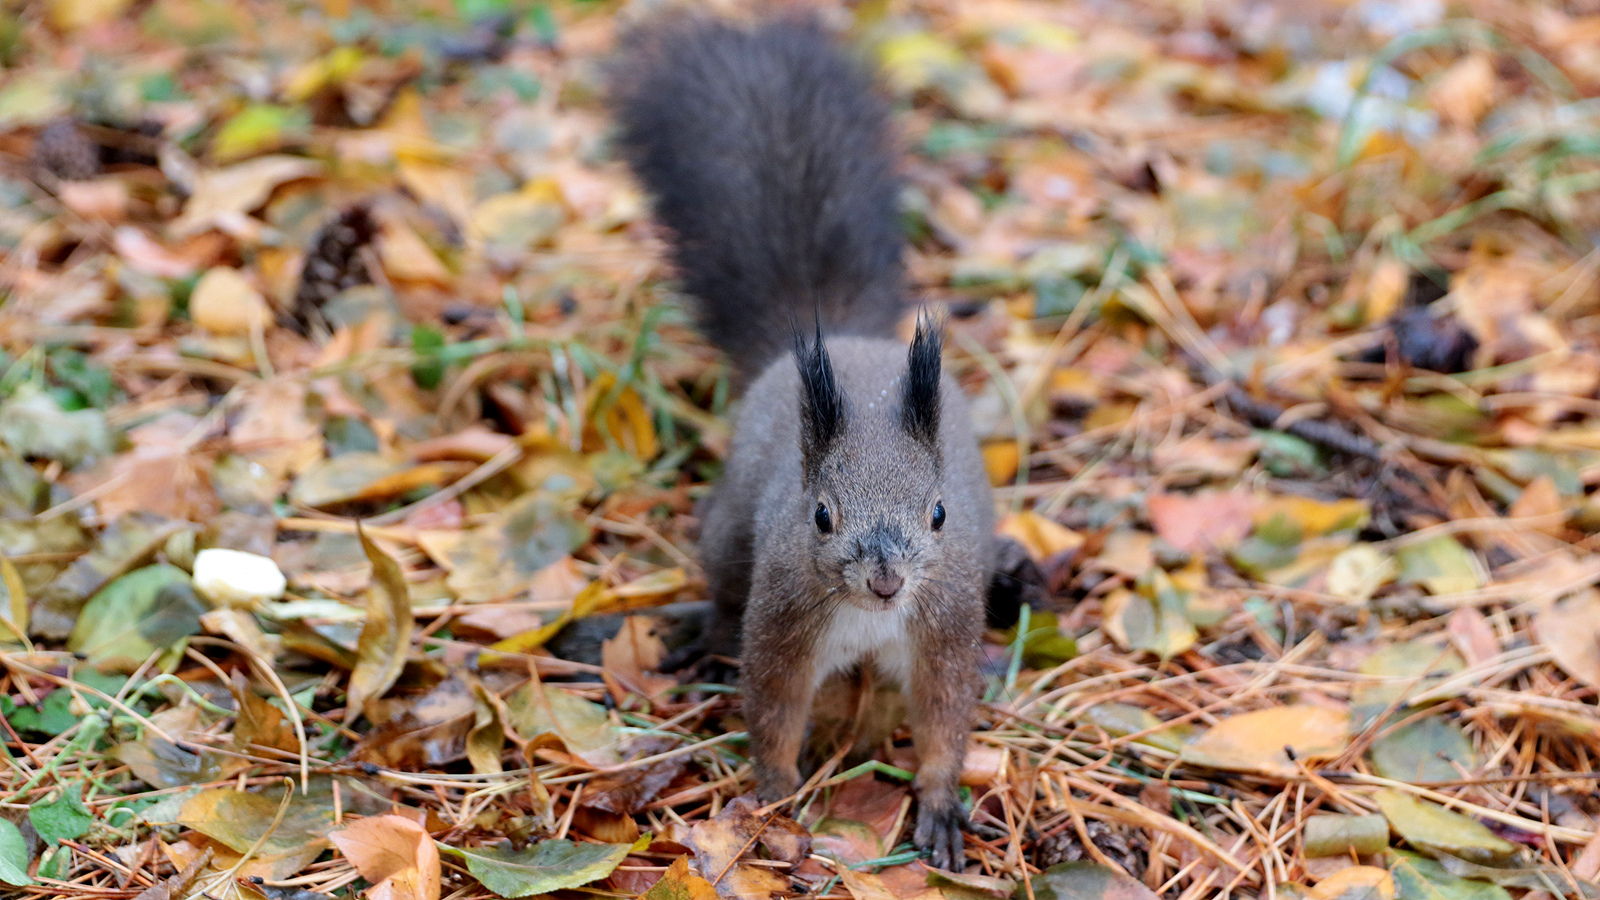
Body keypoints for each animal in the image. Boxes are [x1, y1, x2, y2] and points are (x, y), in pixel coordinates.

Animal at [608, 15, 985, 871]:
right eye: (820, 515)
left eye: (939, 514)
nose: (885, 581)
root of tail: (844, 337)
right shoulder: (782, 620)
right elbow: (773, 706)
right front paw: (775, 796)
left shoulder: (947, 624)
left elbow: (946, 716)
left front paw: (940, 802)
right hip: (726, 535)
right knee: (721, 584)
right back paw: (706, 636)